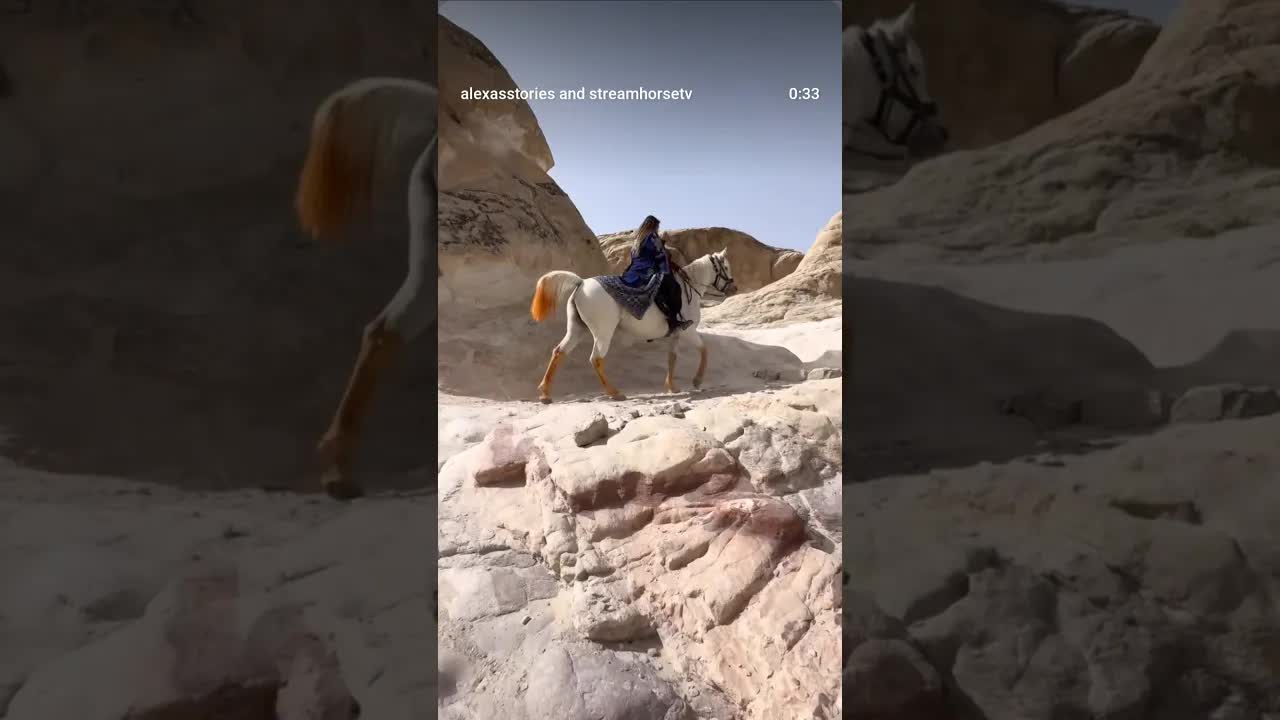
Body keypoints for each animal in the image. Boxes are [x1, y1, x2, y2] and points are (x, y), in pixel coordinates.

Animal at [529, 252, 737, 403]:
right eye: (726, 267)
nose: (734, 288)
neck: (687, 290)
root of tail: (581, 283)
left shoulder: (675, 335)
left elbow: (672, 358)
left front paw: (672, 386)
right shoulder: (689, 331)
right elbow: (704, 350)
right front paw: (697, 380)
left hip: (577, 330)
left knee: (559, 351)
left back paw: (545, 393)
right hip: (603, 333)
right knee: (596, 359)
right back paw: (615, 393)